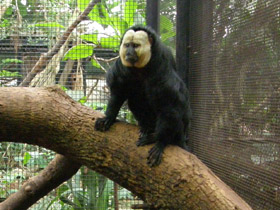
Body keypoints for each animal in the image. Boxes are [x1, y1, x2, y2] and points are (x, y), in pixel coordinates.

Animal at [95, 24, 191, 167]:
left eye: (135, 46)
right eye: (127, 45)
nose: (129, 53)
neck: (140, 69)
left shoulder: (162, 68)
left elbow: (170, 105)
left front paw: (160, 141)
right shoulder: (121, 67)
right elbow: (118, 93)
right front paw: (109, 118)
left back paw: (160, 137)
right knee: (135, 100)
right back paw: (146, 127)